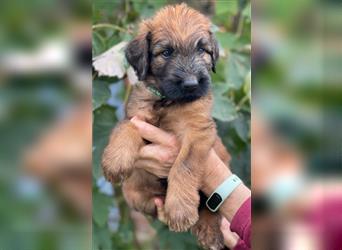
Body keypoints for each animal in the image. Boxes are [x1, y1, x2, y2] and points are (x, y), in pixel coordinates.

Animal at [101, 3, 230, 248]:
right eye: (166, 53)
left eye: (202, 50)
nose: (191, 84)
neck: (168, 101)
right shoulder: (136, 116)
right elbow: (126, 129)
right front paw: (116, 161)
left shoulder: (198, 132)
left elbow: (184, 165)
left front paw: (180, 210)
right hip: (132, 191)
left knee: (211, 206)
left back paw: (209, 230)